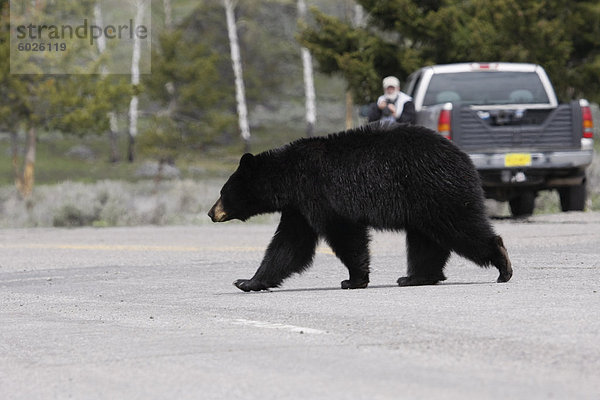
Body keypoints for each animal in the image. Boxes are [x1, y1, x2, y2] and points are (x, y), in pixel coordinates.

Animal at [207, 122, 510, 290]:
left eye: (223, 191)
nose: (211, 212)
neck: (289, 177)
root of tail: (464, 157)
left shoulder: (320, 194)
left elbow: (343, 233)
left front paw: (354, 279)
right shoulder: (300, 207)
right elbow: (289, 245)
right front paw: (248, 282)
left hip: (436, 191)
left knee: (460, 227)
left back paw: (503, 264)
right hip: (423, 204)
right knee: (426, 240)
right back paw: (415, 277)